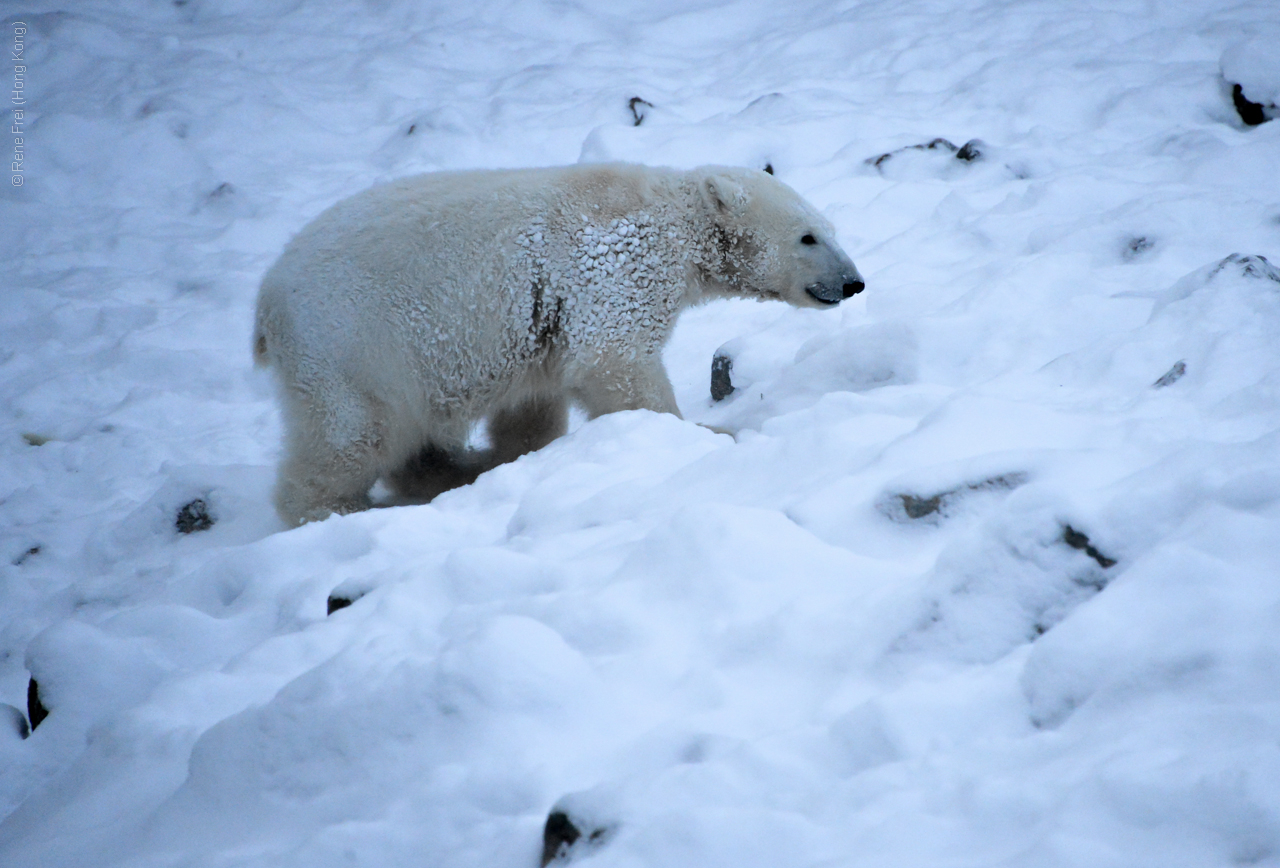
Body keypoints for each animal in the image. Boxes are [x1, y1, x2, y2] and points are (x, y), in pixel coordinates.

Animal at [254, 165, 865, 527]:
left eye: (833, 230)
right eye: (808, 236)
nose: (854, 283)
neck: (676, 219)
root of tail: (267, 300)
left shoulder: (539, 323)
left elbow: (534, 404)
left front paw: (520, 456)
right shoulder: (613, 266)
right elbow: (617, 362)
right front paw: (705, 434)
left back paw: (457, 469)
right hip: (355, 342)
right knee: (356, 431)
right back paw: (334, 508)